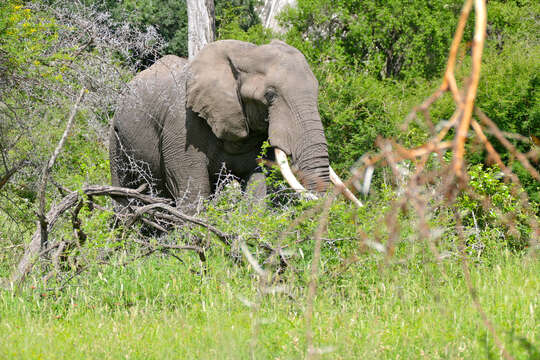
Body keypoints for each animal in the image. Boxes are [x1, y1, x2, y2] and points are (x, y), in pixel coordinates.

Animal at [110, 39, 360, 211]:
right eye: (270, 96)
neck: (246, 54)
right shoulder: (181, 126)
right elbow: (193, 190)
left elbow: (257, 184)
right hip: (116, 138)